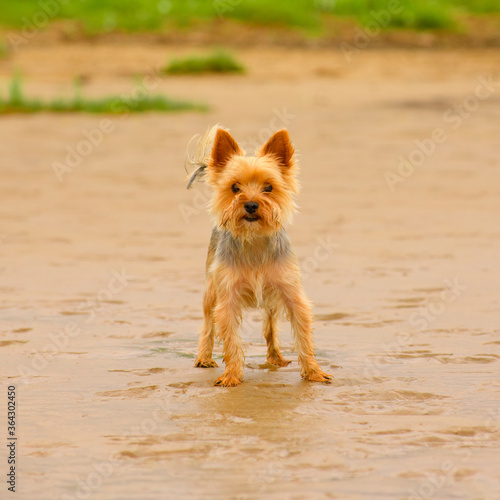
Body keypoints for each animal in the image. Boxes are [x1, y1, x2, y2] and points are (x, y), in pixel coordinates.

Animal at [188, 125, 332, 386]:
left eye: (269, 187)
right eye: (235, 188)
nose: (252, 205)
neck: (253, 239)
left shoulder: (292, 294)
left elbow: (303, 336)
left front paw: (314, 372)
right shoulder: (227, 299)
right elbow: (230, 340)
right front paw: (232, 375)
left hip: (271, 300)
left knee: (270, 326)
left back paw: (275, 357)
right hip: (211, 291)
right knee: (207, 324)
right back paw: (204, 357)